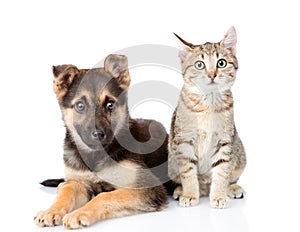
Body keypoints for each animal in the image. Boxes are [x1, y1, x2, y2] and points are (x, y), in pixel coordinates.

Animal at [34, 54, 171, 230]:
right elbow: (68, 191)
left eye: (110, 104)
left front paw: (79, 213)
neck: (96, 156)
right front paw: (52, 210)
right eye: (80, 106)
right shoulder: (79, 181)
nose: (98, 134)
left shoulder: (147, 186)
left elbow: (105, 196)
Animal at [168, 26, 247, 208]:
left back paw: (232, 188)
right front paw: (190, 194)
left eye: (221, 63)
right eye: (199, 65)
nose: (212, 75)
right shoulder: (184, 141)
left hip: (240, 154)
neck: (208, 105)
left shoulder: (225, 141)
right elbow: (188, 172)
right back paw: (180, 190)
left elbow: (221, 172)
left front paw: (218, 196)